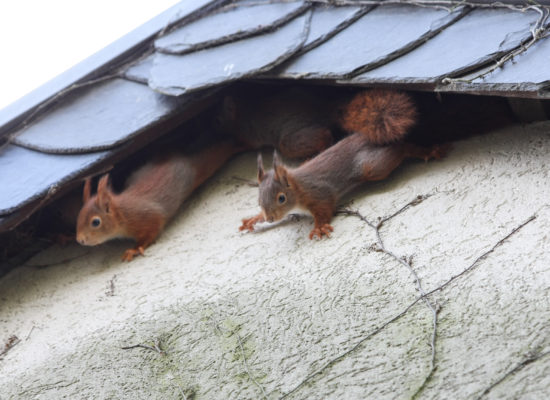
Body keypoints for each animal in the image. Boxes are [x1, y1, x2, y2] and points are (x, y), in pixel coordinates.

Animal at [76, 139, 240, 260]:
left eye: (95, 222)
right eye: (78, 218)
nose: (80, 240)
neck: (123, 214)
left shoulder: (147, 217)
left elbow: (152, 231)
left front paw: (134, 249)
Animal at [239, 90, 450, 241]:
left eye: (281, 198)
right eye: (259, 200)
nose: (270, 219)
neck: (298, 190)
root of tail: (363, 135)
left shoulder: (318, 194)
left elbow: (324, 209)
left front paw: (319, 227)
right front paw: (254, 219)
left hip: (373, 166)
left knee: (401, 147)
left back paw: (425, 151)